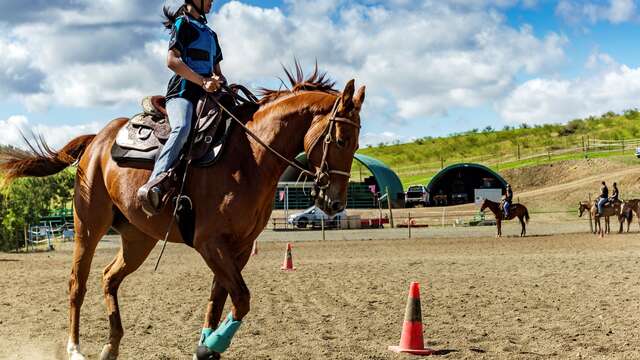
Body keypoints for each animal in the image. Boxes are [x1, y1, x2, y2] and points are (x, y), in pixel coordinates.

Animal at [0, 68, 364, 360]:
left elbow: (220, 300)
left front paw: (207, 346)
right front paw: (211, 345)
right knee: (78, 282)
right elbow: (241, 297)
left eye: (357, 143)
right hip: (88, 226)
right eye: (341, 139)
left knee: (109, 277)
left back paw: (111, 346)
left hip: (138, 239)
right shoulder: (210, 242)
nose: (334, 203)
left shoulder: (240, 247)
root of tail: (96, 142)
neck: (249, 156)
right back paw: (75, 348)